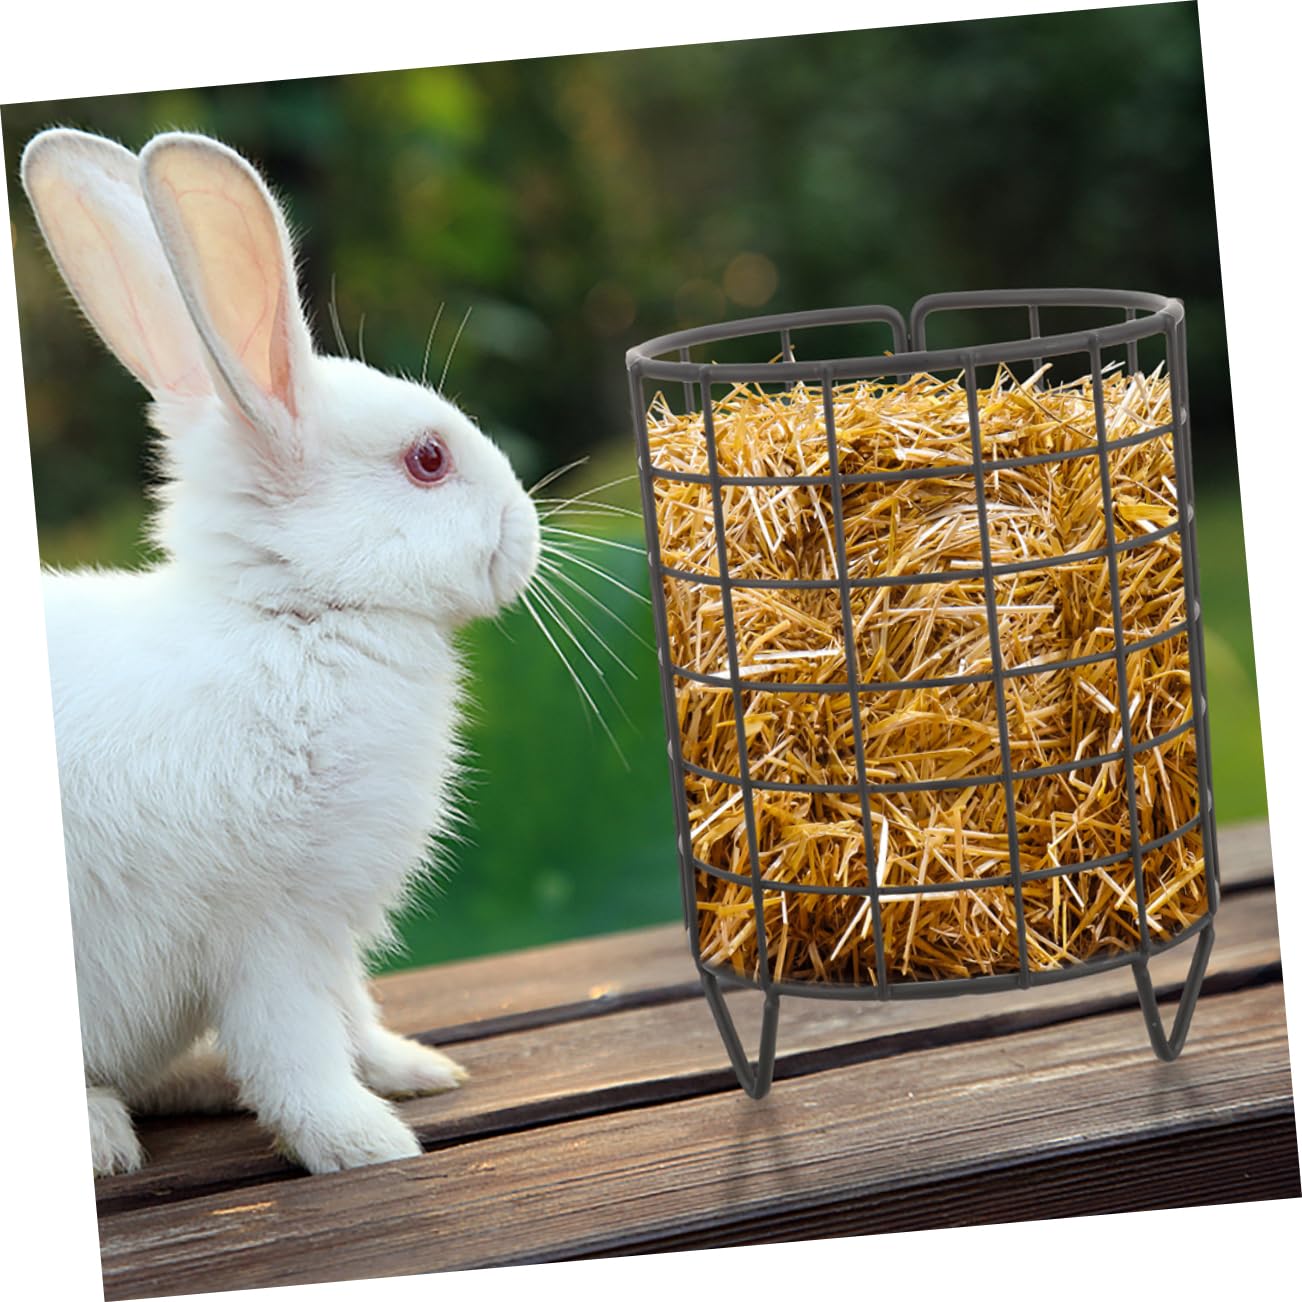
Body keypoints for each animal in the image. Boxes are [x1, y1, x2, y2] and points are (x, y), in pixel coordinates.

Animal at [20, 127, 541, 1176]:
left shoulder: (329, 930)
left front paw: (415, 1071)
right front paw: (366, 1144)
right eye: (429, 460)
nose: (526, 534)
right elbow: (294, 1049)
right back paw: (101, 1137)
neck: (294, 616)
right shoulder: (267, 934)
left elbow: (352, 1016)